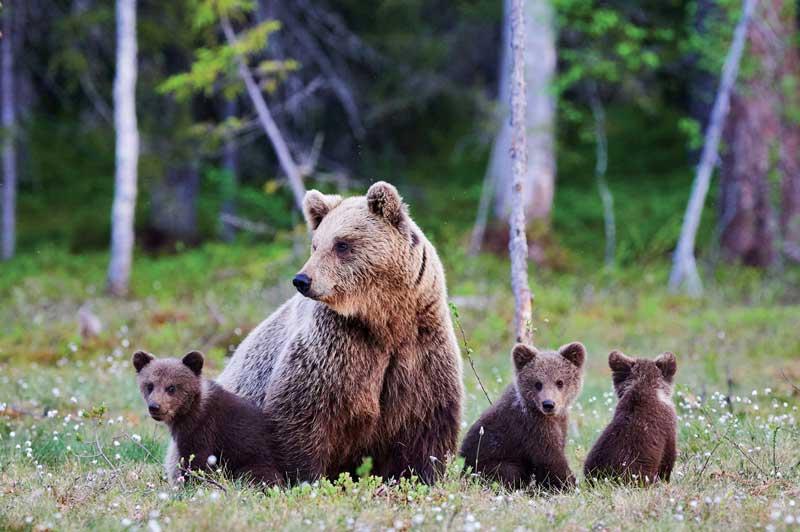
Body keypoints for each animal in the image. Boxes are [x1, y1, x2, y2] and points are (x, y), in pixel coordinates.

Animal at [132, 350, 283, 486]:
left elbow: (197, 460)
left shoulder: (203, 429)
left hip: (256, 460)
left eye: (171, 387)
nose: (154, 407)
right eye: (150, 385)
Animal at [200, 181, 463, 484]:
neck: (384, 320)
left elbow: (426, 424)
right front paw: (305, 477)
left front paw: (420, 475)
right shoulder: (335, 347)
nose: (302, 280)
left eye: (342, 244)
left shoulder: (420, 348)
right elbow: (302, 415)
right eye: (316, 244)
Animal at [460, 342, 586, 491]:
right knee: (508, 472)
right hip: (488, 463)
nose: (548, 404)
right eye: (538, 383)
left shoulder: (560, 423)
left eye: (559, 382)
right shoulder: (532, 427)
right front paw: (571, 485)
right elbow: (550, 459)